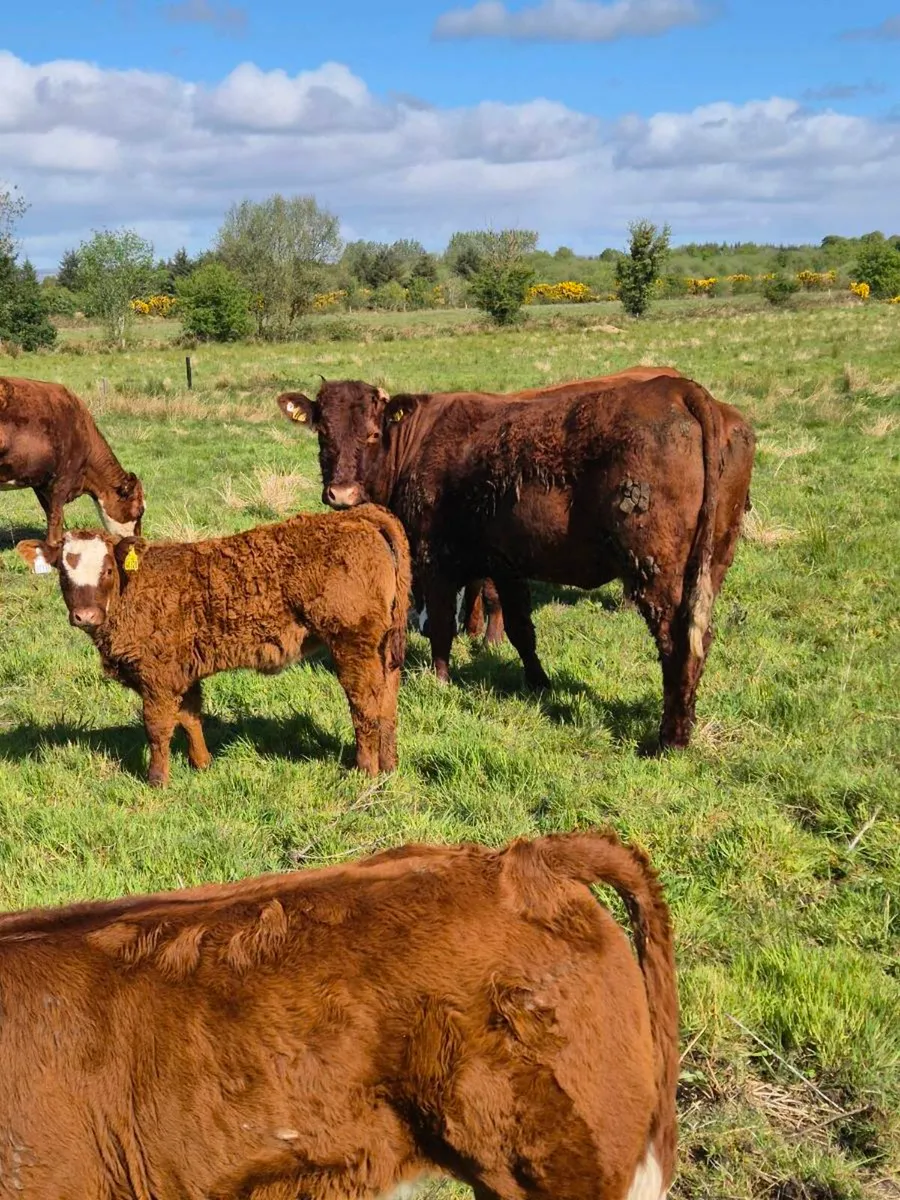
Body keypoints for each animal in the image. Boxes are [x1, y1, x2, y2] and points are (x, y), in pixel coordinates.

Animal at [0, 376, 144, 552]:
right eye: (140, 511)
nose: (139, 541)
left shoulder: (42, 484)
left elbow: (49, 512)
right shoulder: (63, 480)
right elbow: (56, 516)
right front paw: (54, 545)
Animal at [15, 504, 410, 786]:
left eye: (108, 570)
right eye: (63, 574)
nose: (85, 616)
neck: (133, 590)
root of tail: (354, 516)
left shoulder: (157, 675)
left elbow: (157, 726)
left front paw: (157, 780)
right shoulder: (183, 668)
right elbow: (190, 716)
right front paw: (202, 765)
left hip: (351, 643)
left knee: (364, 704)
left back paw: (364, 771)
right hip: (382, 646)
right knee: (387, 701)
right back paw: (389, 765)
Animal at [276, 376, 755, 751]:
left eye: (374, 433)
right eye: (323, 433)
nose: (342, 494)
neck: (418, 442)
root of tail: (679, 390)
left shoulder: (436, 558)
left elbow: (442, 628)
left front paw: (441, 681)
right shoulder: (504, 563)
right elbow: (521, 630)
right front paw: (539, 682)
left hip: (654, 569)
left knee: (676, 642)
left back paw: (670, 738)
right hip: (713, 563)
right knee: (700, 637)